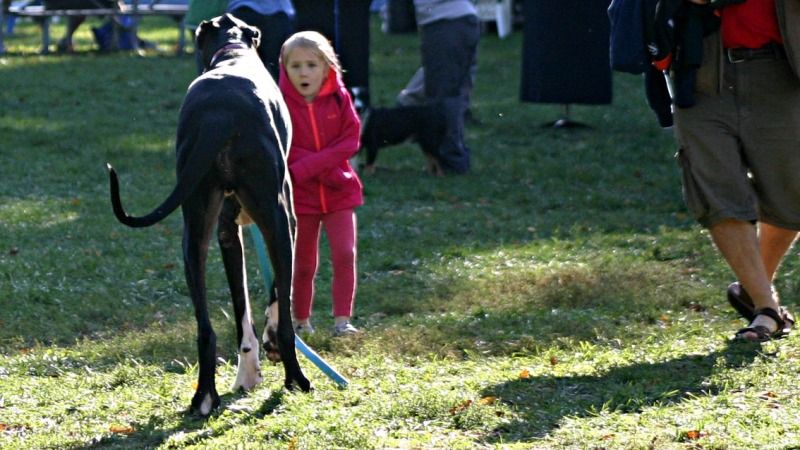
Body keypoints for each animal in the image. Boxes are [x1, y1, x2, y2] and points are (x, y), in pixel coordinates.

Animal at [108, 13, 312, 414]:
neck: (232, 51)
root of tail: (220, 116)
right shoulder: (287, 221)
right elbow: (276, 296)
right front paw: (267, 350)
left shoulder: (227, 235)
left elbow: (242, 311)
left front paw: (247, 372)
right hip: (276, 219)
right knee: (285, 320)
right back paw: (296, 379)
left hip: (195, 232)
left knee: (206, 328)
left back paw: (204, 396)